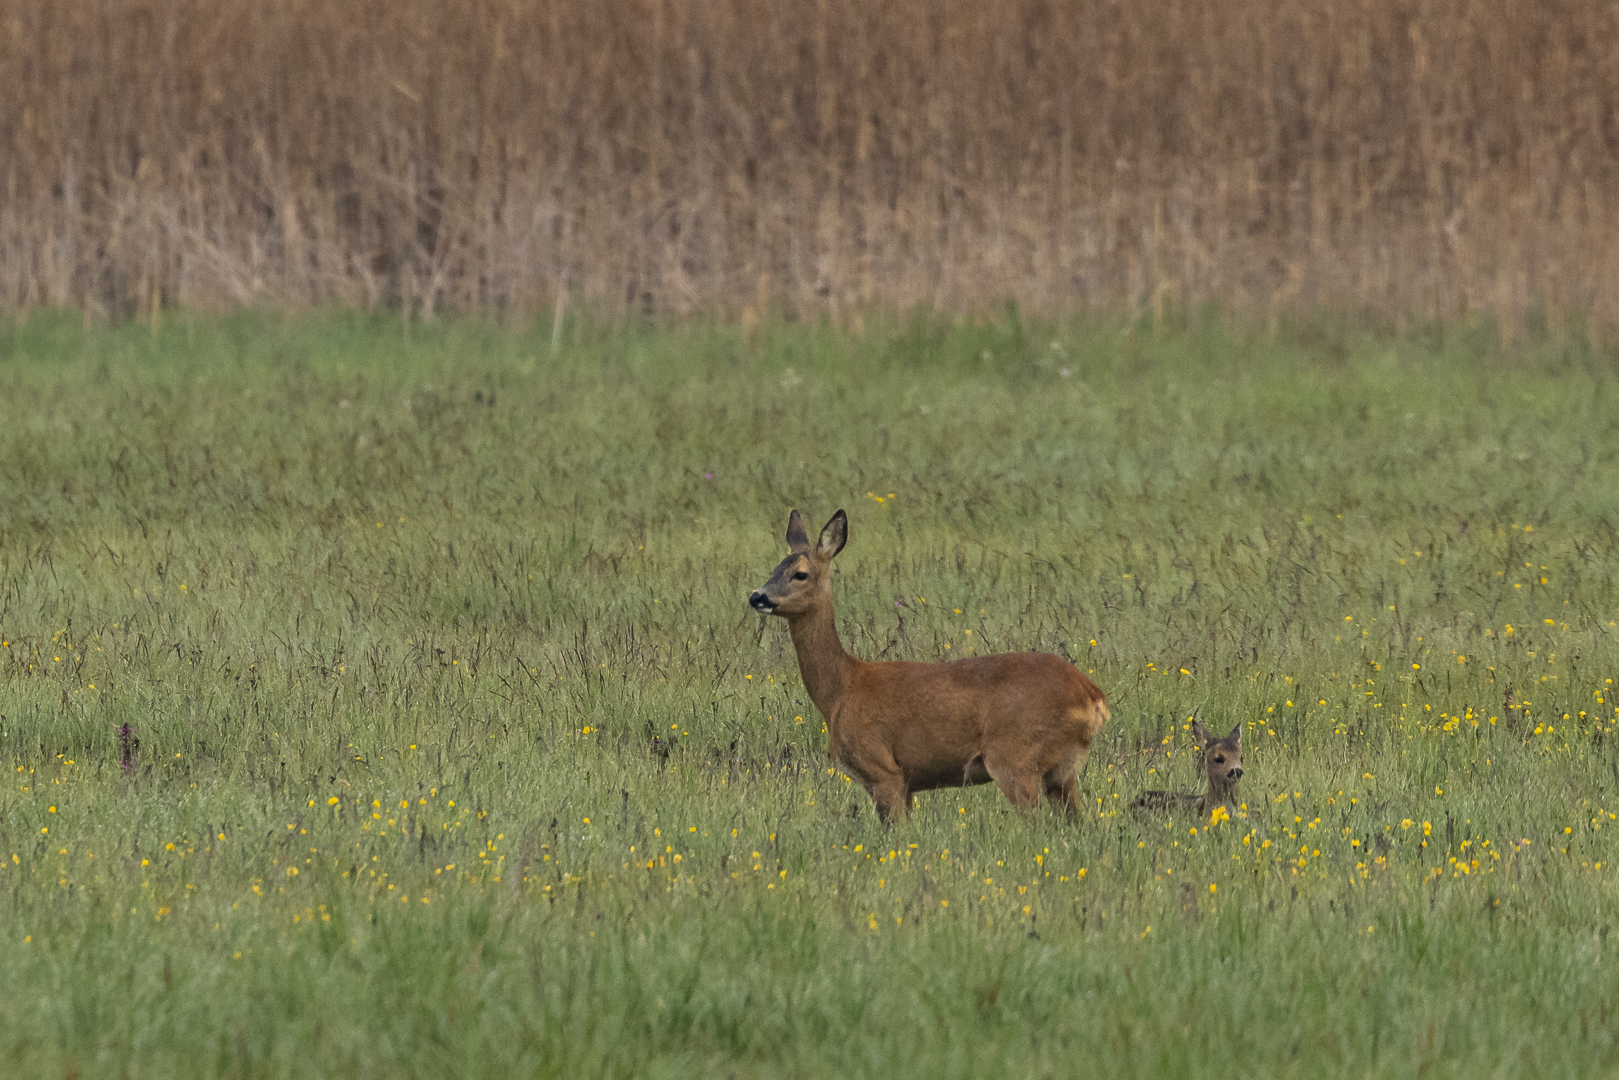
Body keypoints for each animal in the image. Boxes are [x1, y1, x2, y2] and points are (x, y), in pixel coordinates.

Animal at [747, 511, 1113, 822]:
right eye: (774, 568)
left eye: (800, 574)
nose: (757, 597)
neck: (842, 690)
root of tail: (1092, 696)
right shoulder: (907, 782)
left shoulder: (884, 770)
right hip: (1063, 769)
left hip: (1014, 757)